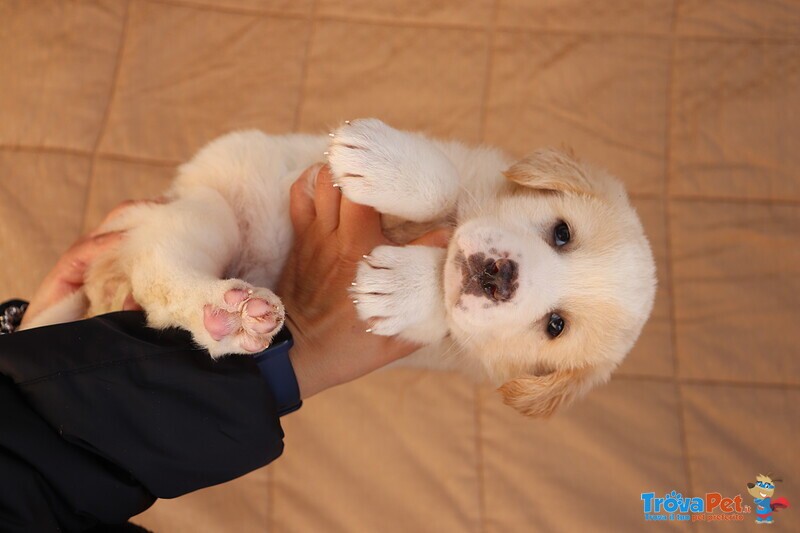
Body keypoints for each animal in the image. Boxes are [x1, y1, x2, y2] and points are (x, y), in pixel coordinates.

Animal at [23, 119, 656, 416]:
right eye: (561, 233)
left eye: (555, 326)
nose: (497, 276)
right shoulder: (463, 169)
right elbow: (443, 177)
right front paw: (381, 162)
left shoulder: (447, 344)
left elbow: (441, 311)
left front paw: (402, 286)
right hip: (206, 211)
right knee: (161, 269)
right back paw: (226, 308)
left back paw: (231, 318)